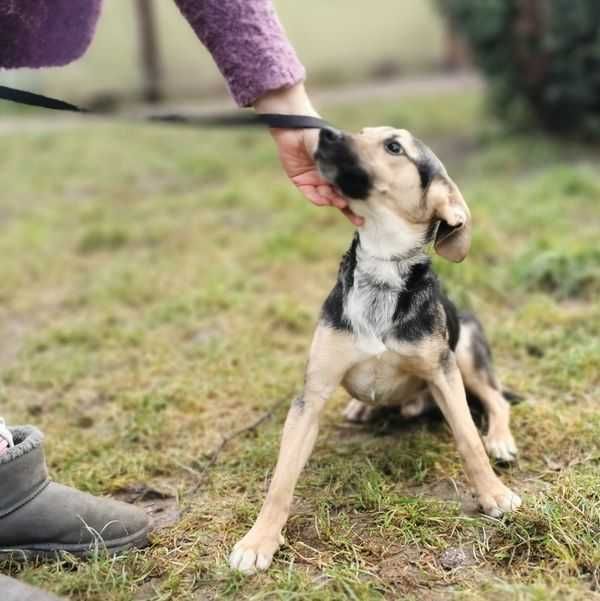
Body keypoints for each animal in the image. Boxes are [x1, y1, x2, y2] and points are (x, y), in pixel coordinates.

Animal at [230, 125, 520, 572]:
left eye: (394, 146)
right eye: (363, 132)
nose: (322, 132)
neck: (383, 266)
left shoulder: (443, 372)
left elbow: (469, 440)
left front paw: (494, 493)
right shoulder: (312, 394)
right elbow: (282, 478)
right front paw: (259, 540)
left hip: (467, 350)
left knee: (496, 400)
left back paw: (501, 440)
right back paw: (362, 407)